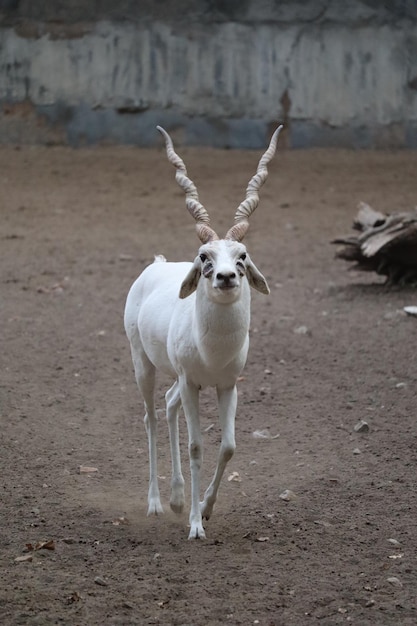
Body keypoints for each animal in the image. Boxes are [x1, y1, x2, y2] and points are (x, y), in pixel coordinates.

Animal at [122, 125, 282, 536]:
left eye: (242, 256)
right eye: (204, 257)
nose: (225, 277)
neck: (213, 350)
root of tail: (156, 264)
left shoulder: (227, 385)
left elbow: (228, 446)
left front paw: (206, 508)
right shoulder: (194, 384)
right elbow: (197, 447)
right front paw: (195, 525)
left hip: (178, 380)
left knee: (167, 404)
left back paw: (178, 498)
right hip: (143, 365)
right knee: (150, 416)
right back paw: (157, 503)